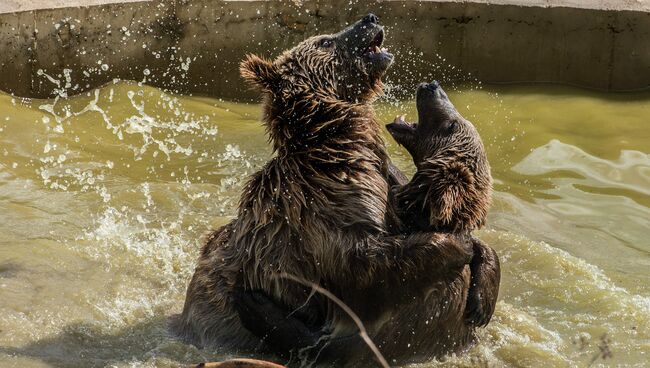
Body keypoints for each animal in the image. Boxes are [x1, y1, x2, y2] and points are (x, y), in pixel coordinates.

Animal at [175, 14, 474, 362]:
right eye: (326, 41)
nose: (370, 18)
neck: (333, 139)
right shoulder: (323, 208)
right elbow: (365, 264)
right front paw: (460, 246)